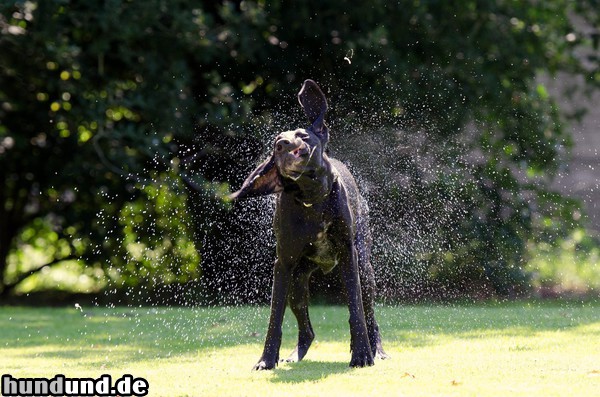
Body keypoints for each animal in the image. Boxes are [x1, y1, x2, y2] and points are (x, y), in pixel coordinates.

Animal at [230, 79, 390, 370]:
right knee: (307, 330)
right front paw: (266, 359)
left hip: (365, 269)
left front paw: (362, 354)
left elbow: (356, 311)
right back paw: (295, 354)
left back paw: (378, 350)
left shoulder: (349, 256)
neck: (312, 197)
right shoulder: (283, 264)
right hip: (297, 282)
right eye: (275, 141)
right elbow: (274, 318)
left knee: (370, 315)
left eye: (303, 136)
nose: (281, 144)